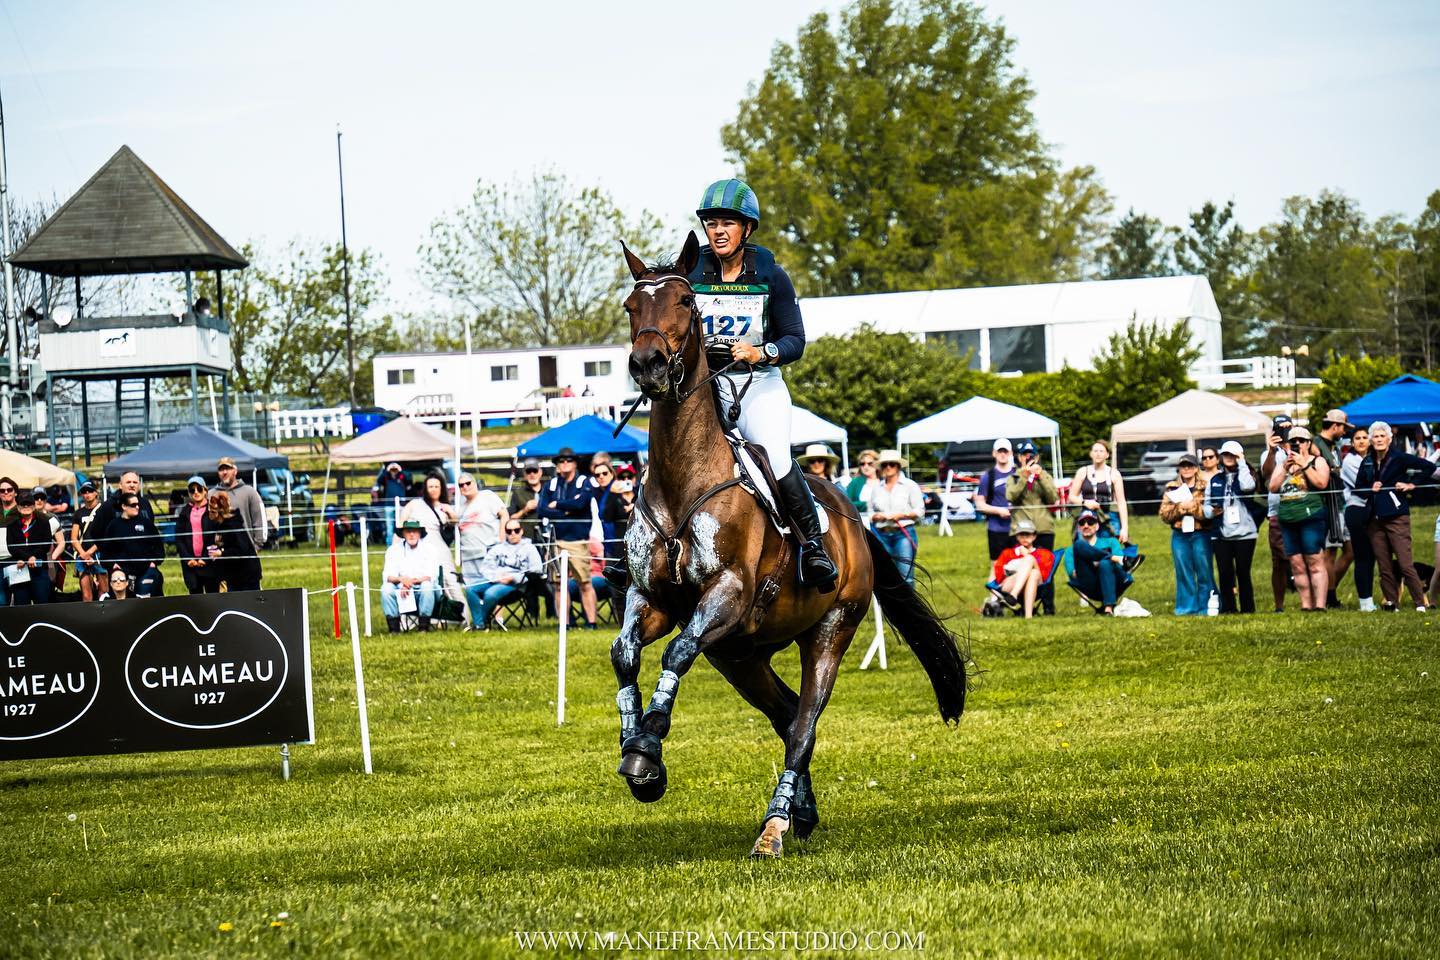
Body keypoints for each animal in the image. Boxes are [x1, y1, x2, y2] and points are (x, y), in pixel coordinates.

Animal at [612, 231, 968, 858]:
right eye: (632, 307)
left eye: (685, 301)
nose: (648, 365)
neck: (685, 482)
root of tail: (853, 520)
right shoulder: (651, 598)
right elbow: (626, 653)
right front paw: (639, 757)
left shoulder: (726, 595)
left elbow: (676, 652)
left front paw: (648, 747)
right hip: (740, 656)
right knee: (787, 719)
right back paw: (801, 812)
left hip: (827, 632)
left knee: (803, 724)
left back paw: (774, 829)